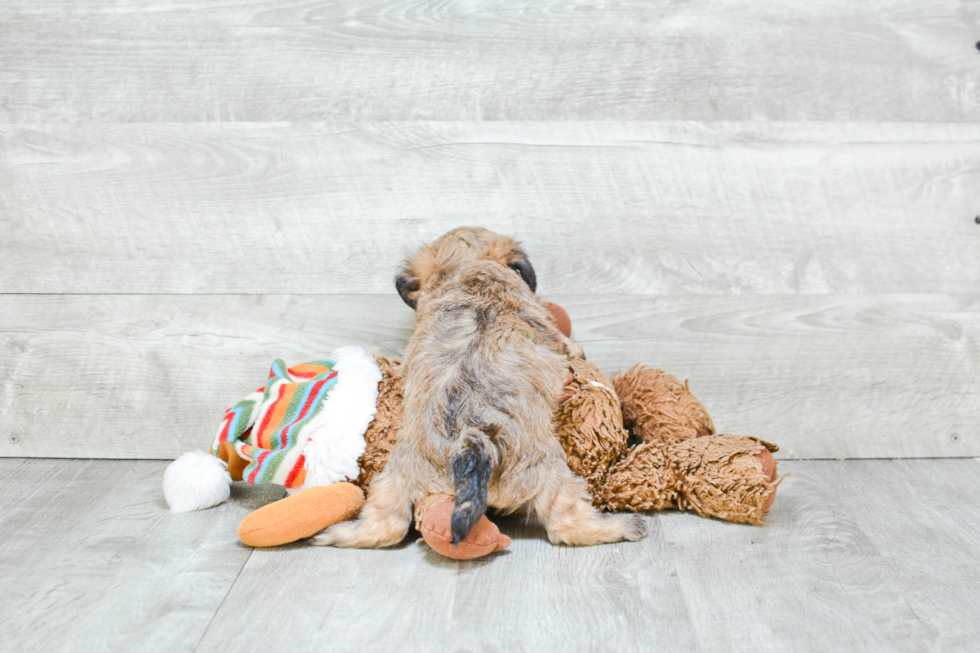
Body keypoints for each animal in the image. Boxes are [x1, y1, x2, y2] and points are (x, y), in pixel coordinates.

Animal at [314, 227, 648, 548]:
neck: (468, 267)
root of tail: (470, 449)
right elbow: (563, 344)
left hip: (394, 479)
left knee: (387, 525)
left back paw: (335, 533)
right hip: (549, 474)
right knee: (567, 523)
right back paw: (622, 527)